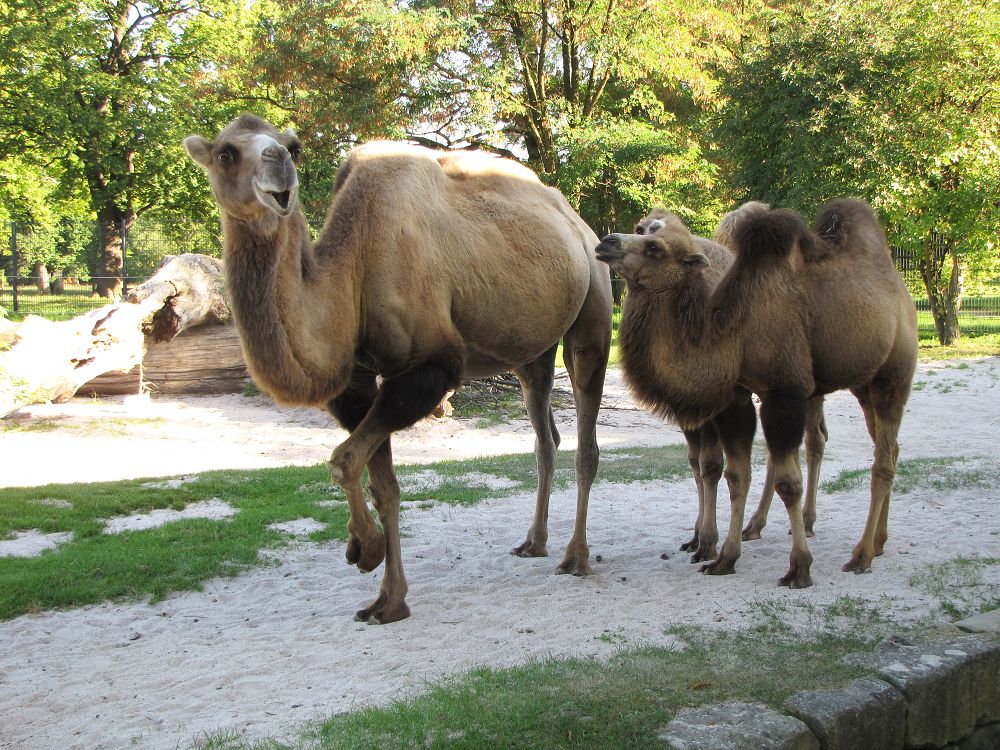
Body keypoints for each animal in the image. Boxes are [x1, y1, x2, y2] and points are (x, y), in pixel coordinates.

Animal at [184, 114, 612, 624]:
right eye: (226, 153)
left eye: (294, 145)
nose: (280, 163)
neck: (352, 275)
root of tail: (579, 225)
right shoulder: (359, 382)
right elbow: (380, 482)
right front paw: (387, 600)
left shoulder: (430, 366)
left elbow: (344, 460)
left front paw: (364, 549)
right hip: (531, 349)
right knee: (545, 434)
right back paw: (534, 542)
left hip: (594, 306)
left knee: (586, 435)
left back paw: (576, 557)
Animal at [596, 203, 916, 592]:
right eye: (640, 228)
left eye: (655, 247)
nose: (608, 241)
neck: (735, 330)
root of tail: (900, 291)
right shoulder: (736, 399)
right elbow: (736, 474)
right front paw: (724, 558)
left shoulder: (783, 393)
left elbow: (787, 481)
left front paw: (799, 567)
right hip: (860, 383)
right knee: (888, 448)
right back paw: (877, 541)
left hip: (892, 376)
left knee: (879, 460)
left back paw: (862, 554)